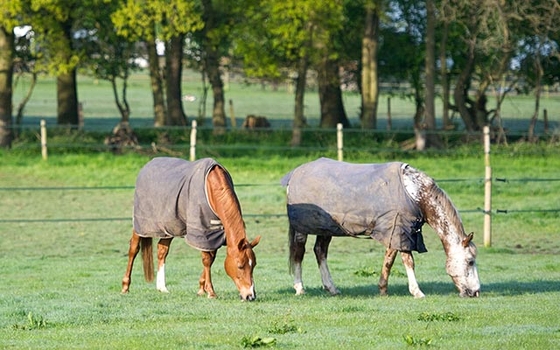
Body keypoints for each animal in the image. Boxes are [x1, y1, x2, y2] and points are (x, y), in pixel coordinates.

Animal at [121, 157, 262, 300]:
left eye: (254, 265)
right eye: (240, 266)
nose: (250, 296)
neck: (212, 187)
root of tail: (147, 165)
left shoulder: (215, 234)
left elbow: (210, 259)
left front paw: (201, 289)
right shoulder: (202, 232)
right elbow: (206, 260)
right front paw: (210, 292)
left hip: (169, 227)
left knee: (162, 250)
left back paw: (162, 288)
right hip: (141, 224)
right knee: (133, 249)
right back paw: (125, 287)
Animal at [282, 159, 480, 298]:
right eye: (470, 261)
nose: (476, 292)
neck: (415, 193)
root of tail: (294, 175)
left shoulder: (395, 231)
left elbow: (389, 260)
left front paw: (383, 289)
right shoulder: (401, 230)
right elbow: (408, 261)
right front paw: (417, 291)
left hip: (326, 229)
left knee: (320, 251)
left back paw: (331, 288)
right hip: (302, 229)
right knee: (299, 253)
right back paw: (300, 288)